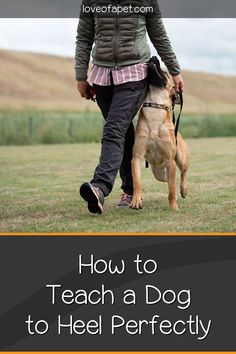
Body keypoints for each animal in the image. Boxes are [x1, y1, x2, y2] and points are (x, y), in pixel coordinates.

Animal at [130, 57, 189, 210]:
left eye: (165, 72)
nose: (153, 57)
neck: (155, 107)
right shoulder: (137, 157)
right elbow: (137, 182)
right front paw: (136, 200)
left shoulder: (170, 161)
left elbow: (172, 189)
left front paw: (173, 207)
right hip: (158, 172)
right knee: (167, 179)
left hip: (181, 158)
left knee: (183, 172)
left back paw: (184, 189)